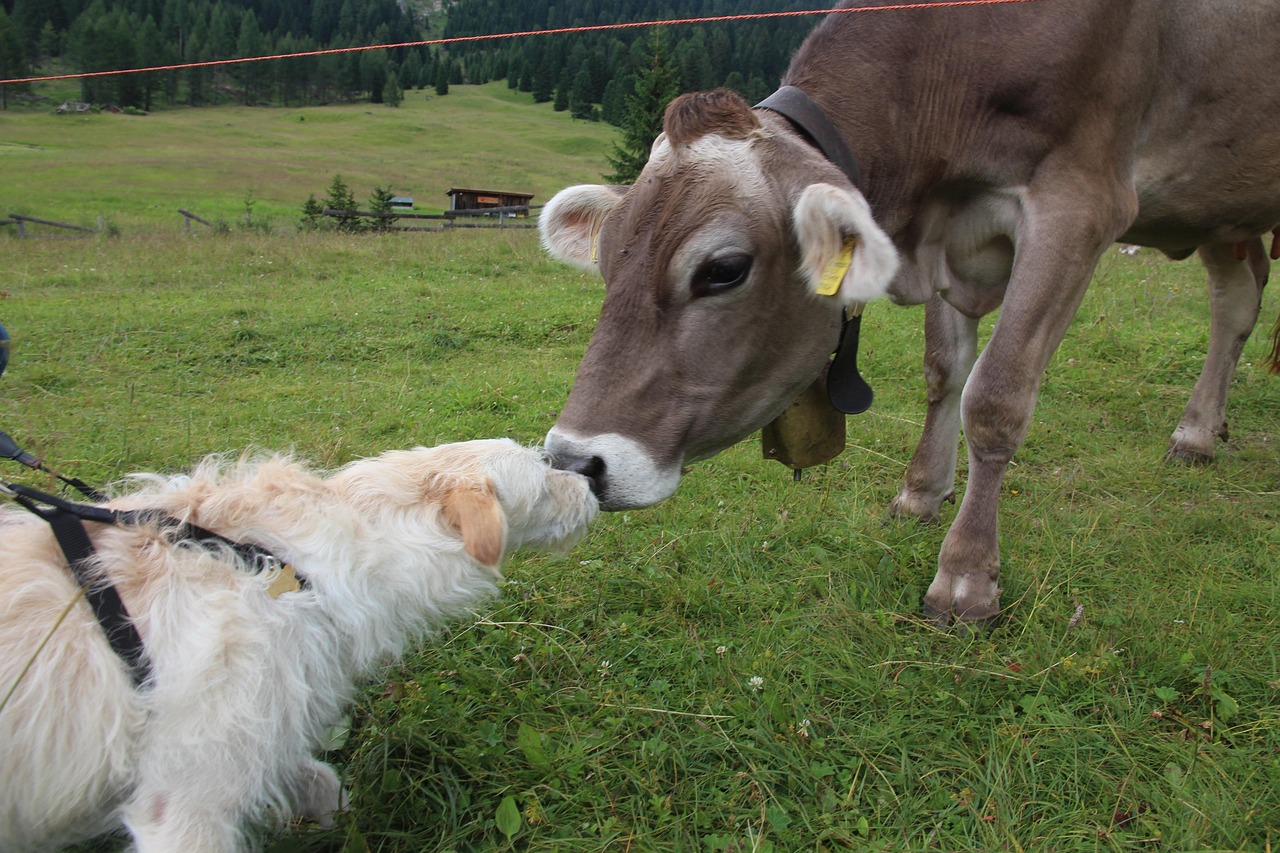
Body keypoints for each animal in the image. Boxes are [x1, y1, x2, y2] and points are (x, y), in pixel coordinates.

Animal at [0, 438, 599, 850]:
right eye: (544, 478)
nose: (594, 484)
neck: (289, 566)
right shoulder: (185, 799)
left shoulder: (267, 721)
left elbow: (319, 780)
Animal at [537, 0, 1280, 625]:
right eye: (608, 262)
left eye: (723, 269)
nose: (576, 462)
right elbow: (944, 371)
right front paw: (921, 494)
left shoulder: (1080, 201)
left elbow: (996, 397)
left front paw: (966, 576)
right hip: (1225, 213)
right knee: (1238, 298)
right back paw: (1200, 430)